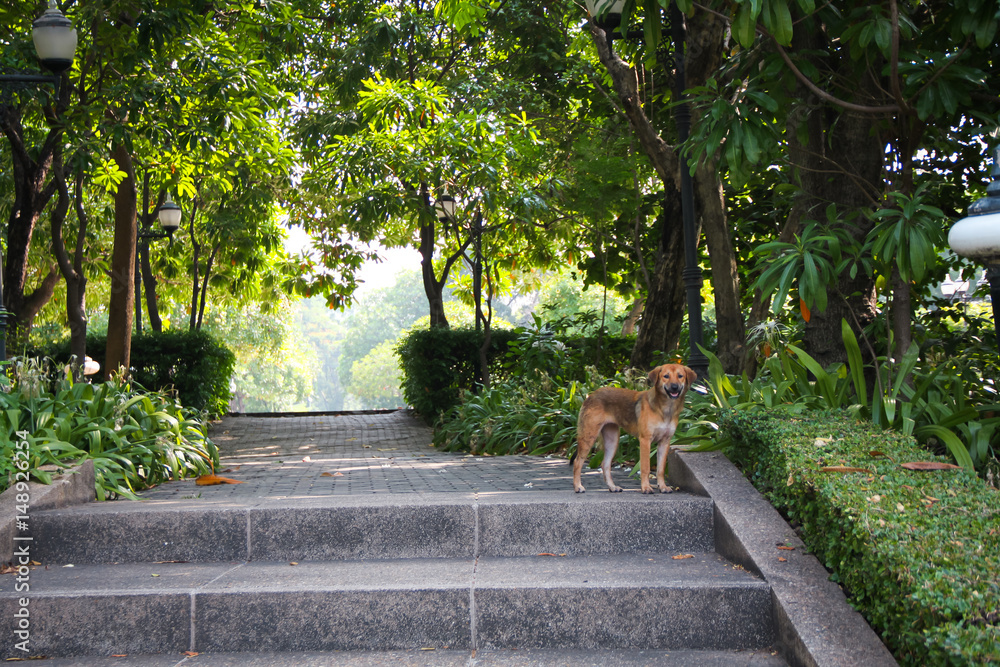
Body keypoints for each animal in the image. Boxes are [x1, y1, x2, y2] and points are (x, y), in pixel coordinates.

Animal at [572, 362, 696, 494]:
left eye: (680, 376)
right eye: (666, 376)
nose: (674, 387)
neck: (665, 408)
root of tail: (591, 395)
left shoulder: (665, 442)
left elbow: (660, 469)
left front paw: (662, 486)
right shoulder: (645, 440)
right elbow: (646, 467)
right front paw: (646, 487)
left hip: (612, 440)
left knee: (605, 464)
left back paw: (612, 487)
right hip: (589, 436)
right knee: (577, 462)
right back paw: (578, 486)